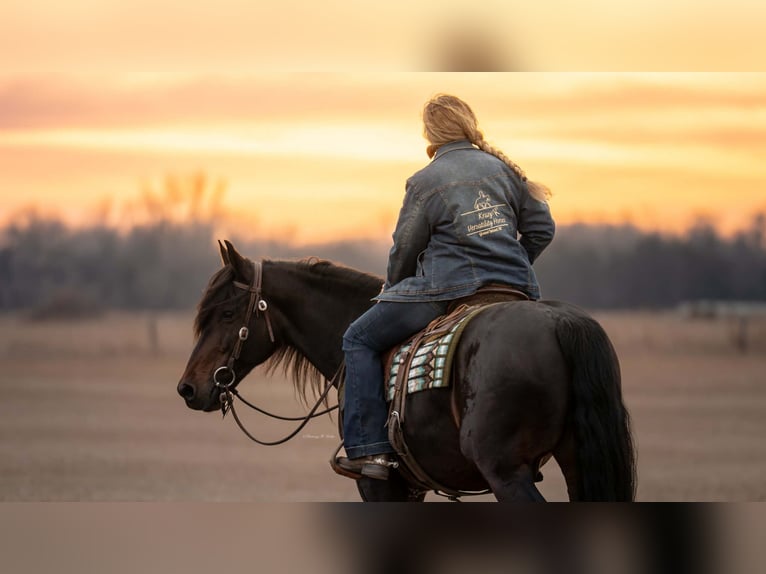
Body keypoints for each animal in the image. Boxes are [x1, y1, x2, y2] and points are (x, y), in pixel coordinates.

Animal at [177, 240, 636, 501]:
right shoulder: (412, 485)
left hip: (507, 473)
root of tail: (561, 324)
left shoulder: (379, 483)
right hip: (576, 462)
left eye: (227, 312)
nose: (188, 388)